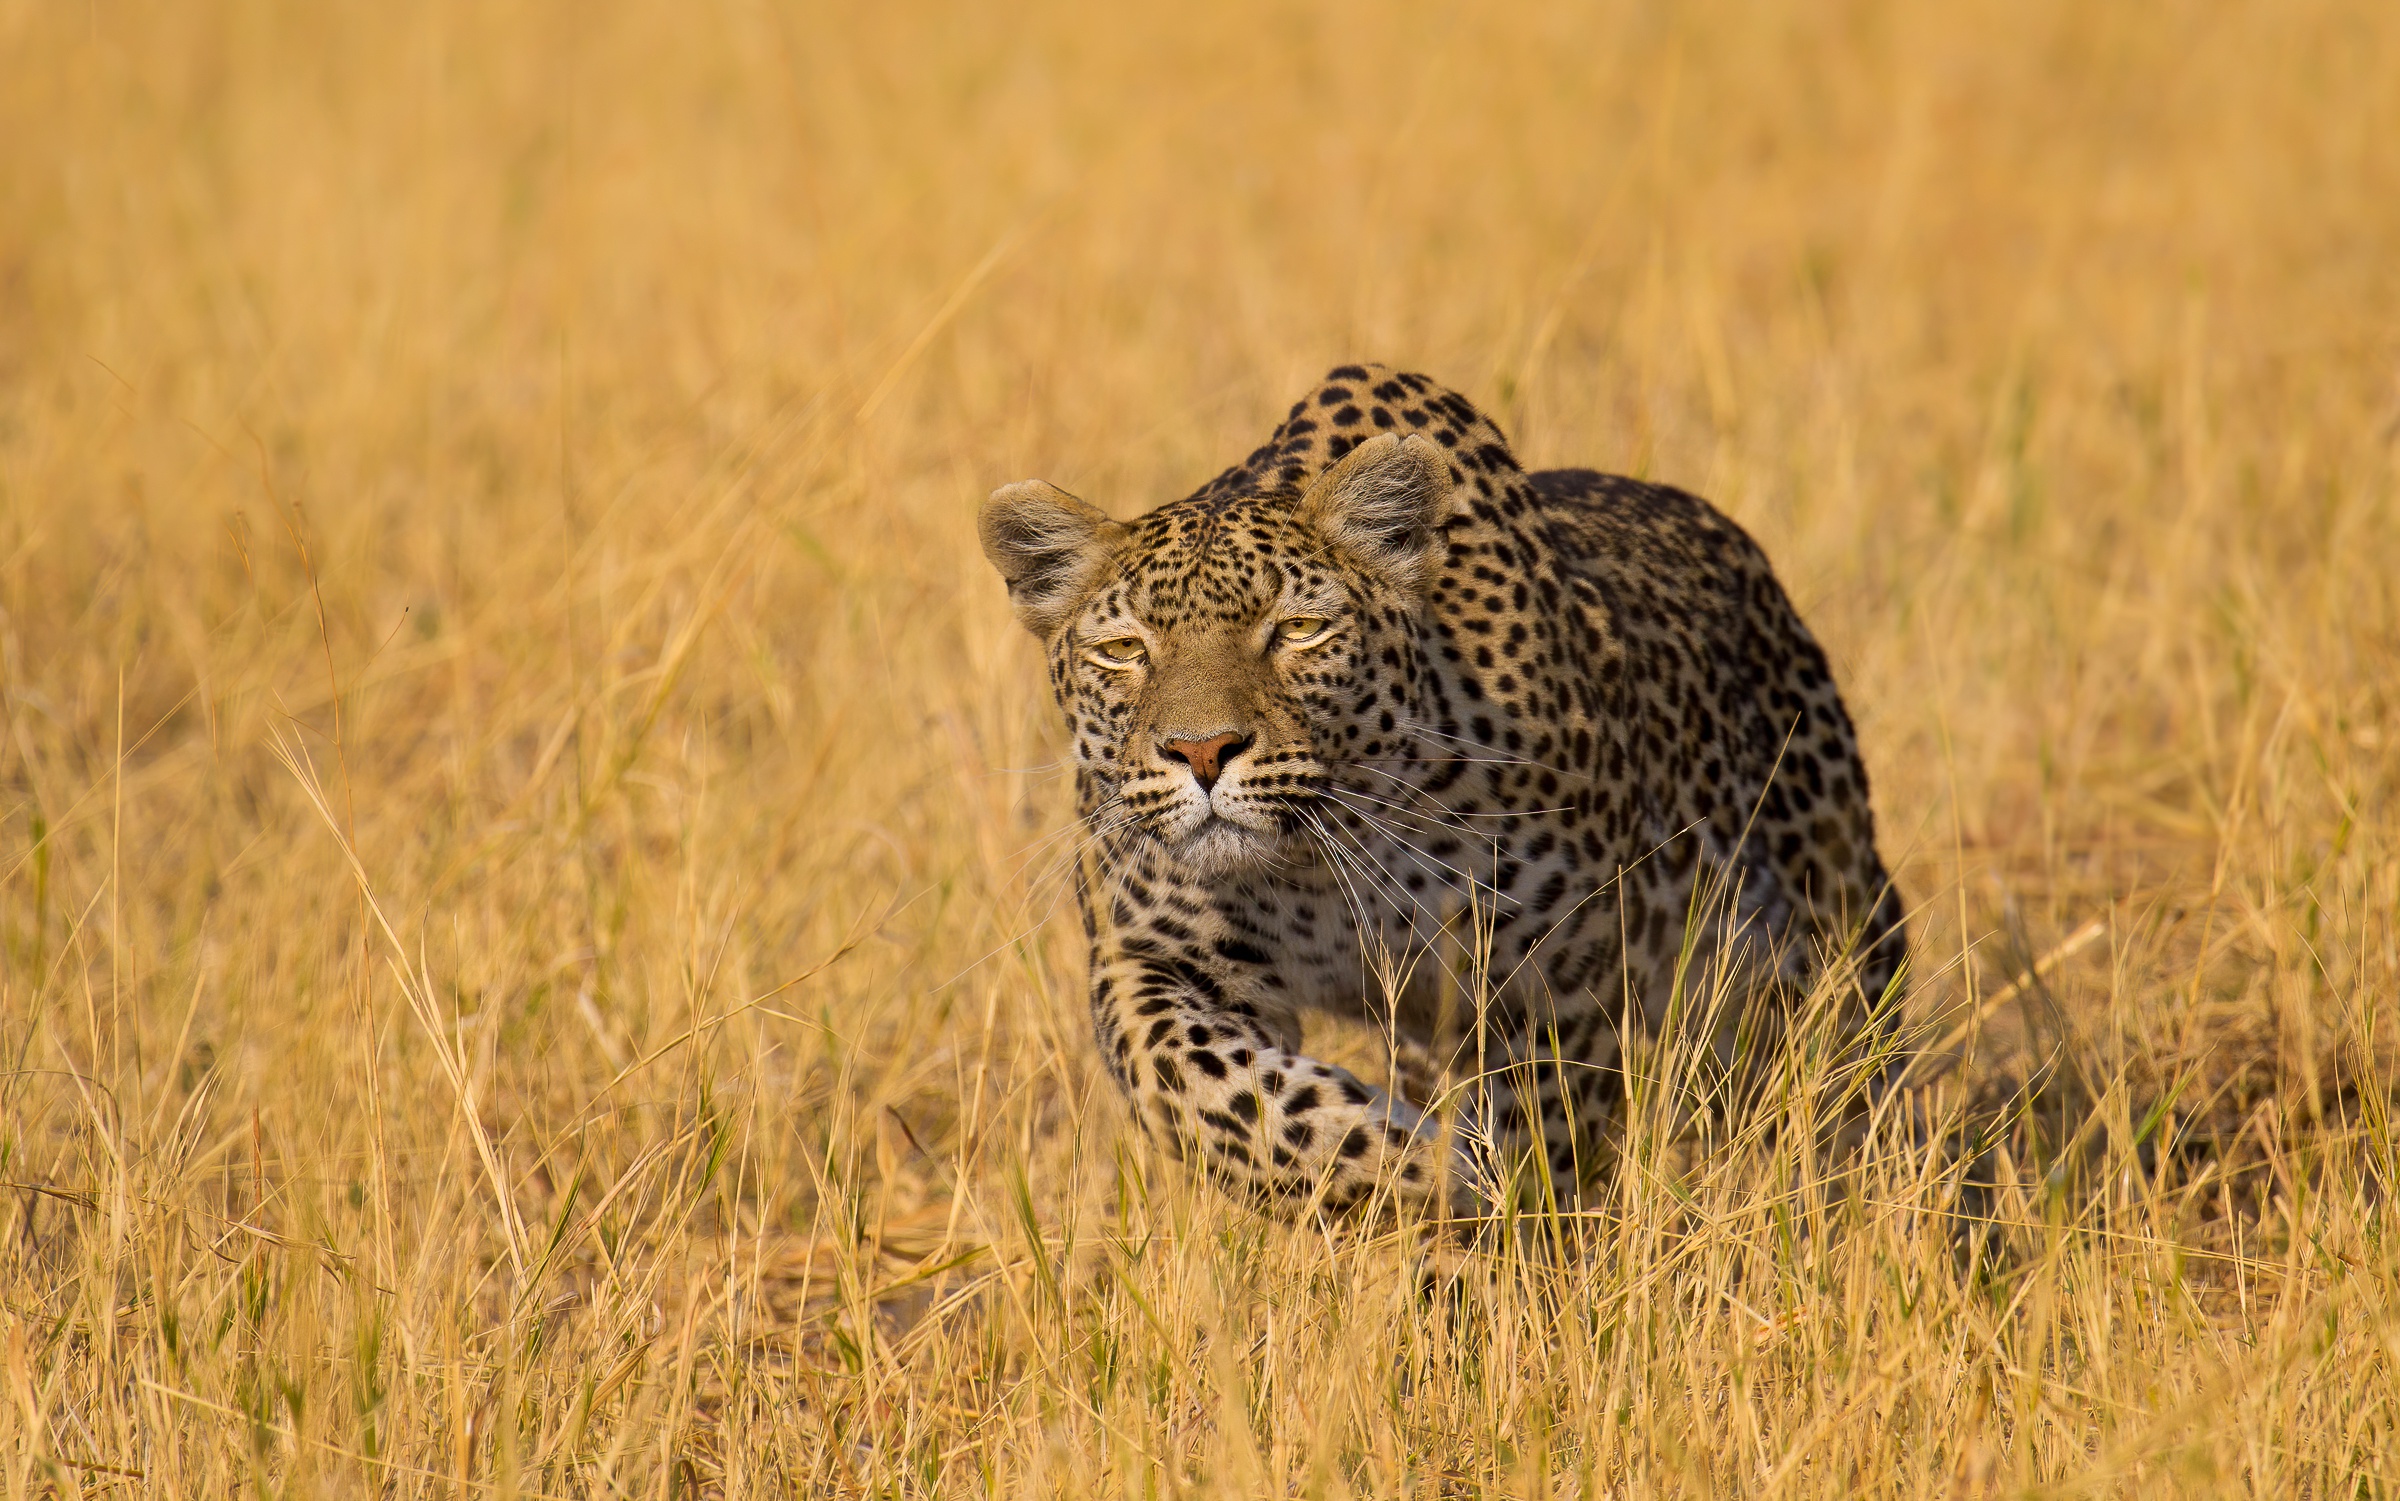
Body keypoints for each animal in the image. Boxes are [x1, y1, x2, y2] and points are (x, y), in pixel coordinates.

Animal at [984, 362, 1900, 1220]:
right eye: (1123, 649)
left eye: (1299, 631)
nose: (1201, 751)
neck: (1314, 867)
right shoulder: (1155, 958)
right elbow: (1221, 1100)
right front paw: (1406, 1172)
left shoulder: (1552, 972)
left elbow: (1537, 1139)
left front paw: (1490, 1233)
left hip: (1823, 919)